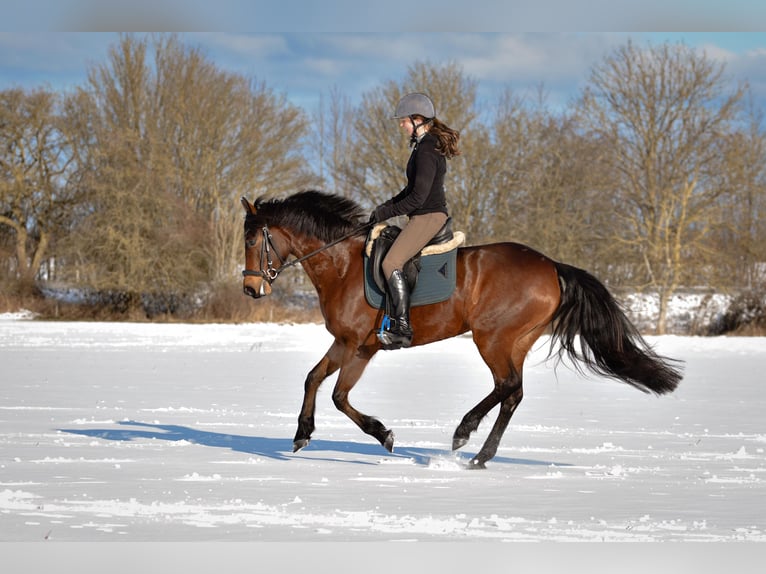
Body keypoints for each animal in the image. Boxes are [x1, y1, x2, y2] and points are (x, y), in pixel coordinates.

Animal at [241, 190, 682, 469]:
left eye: (251, 240)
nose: (250, 289)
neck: (343, 265)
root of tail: (552, 266)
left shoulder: (356, 344)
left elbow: (337, 395)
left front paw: (383, 434)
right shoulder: (350, 343)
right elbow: (315, 379)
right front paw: (302, 434)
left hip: (493, 338)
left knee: (506, 386)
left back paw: (463, 433)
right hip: (516, 341)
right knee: (513, 393)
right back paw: (480, 456)